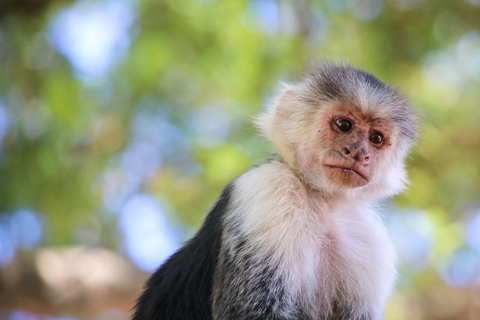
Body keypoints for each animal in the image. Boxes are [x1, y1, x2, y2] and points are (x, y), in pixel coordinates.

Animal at [131, 63, 416, 318]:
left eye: (376, 138)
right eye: (344, 124)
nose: (359, 153)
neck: (322, 201)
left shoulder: (370, 240)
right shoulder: (269, 189)